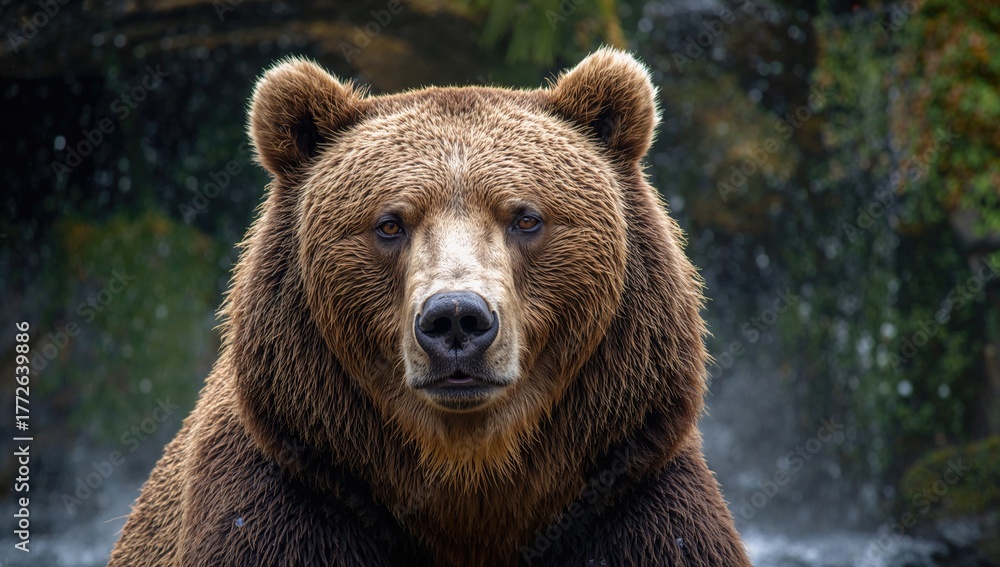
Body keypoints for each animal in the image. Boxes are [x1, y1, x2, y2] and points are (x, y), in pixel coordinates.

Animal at [109, 48, 751, 567]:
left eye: (526, 217)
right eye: (389, 224)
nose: (457, 319)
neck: (467, 489)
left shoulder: (627, 501)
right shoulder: (289, 498)